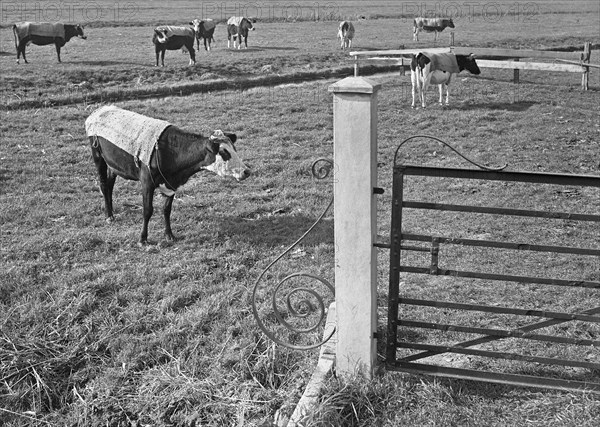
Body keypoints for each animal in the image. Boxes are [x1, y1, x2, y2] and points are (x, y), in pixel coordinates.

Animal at [85, 105, 250, 246]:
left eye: (234, 148)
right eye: (223, 152)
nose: (246, 171)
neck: (170, 152)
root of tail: (100, 109)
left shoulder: (171, 184)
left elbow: (166, 209)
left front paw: (169, 235)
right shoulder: (147, 182)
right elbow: (147, 210)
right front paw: (143, 239)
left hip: (114, 165)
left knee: (110, 185)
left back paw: (111, 212)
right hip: (98, 157)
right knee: (103, 184)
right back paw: (108, 216)